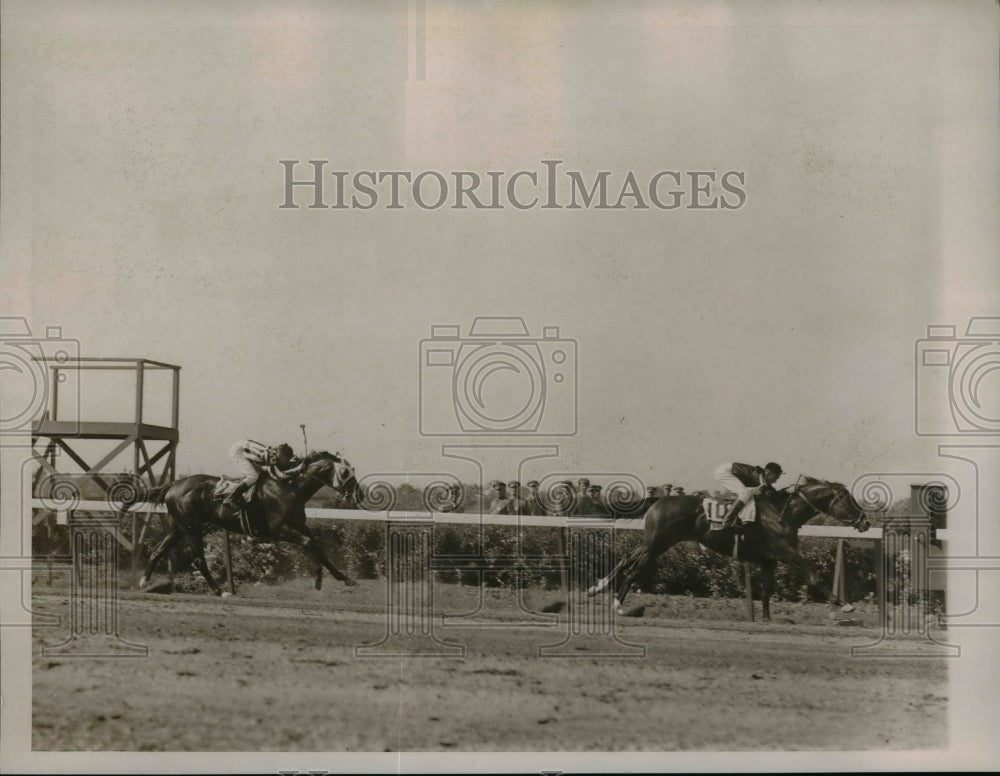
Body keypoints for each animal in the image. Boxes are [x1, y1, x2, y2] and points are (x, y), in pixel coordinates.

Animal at [121, 448, 364, 596]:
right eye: (345, 472)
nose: (359, 495)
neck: (289, 487)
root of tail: (173, 484)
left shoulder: (299, 525)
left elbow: (316, 544)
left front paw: (341, 578)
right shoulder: (279, 529)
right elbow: (310, 543)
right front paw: (321, 579)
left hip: (179, 528)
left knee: (158, 550)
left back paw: (144, 582)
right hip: (192, 528)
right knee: (199, 560)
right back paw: (220, 591)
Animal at [584, 476, 868, 620]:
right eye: (848, 499)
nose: (865, 522)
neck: (782, 513)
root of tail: (659, 500)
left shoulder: (769, 559)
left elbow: (766, 591)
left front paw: (766, 619)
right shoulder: (787, 554)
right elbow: (813, 575)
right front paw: (844, 605)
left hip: (652, 542)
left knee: (626, 559)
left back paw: (596, 588)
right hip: (657, 544)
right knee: (634, 569)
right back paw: (619, 605)